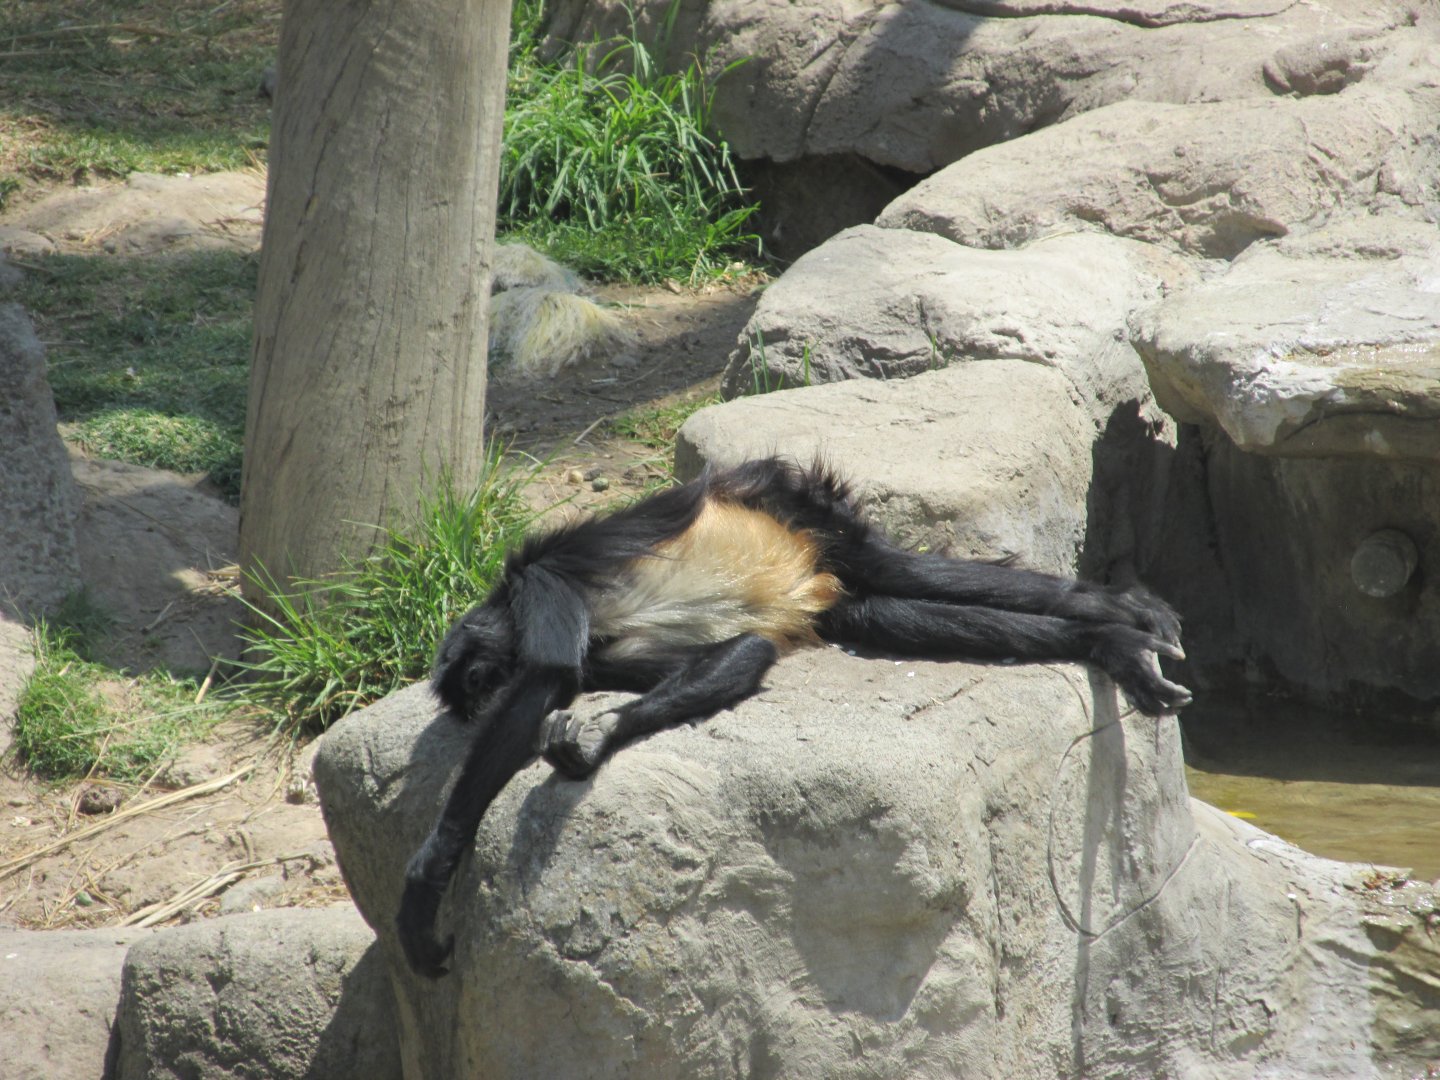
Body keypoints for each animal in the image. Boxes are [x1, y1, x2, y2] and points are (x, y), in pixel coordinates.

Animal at [398, 456, 1190, 977]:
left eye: (481, 683)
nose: (480, 701)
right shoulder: (604, 655)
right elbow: (746, 651)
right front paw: (596, 739)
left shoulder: (544, 575)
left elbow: (549, 676)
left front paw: (427, 881)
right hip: (831, 572)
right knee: (889, 607)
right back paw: (1108, 639)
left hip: (797, 504)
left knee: (902, 575)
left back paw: (1114, 611)